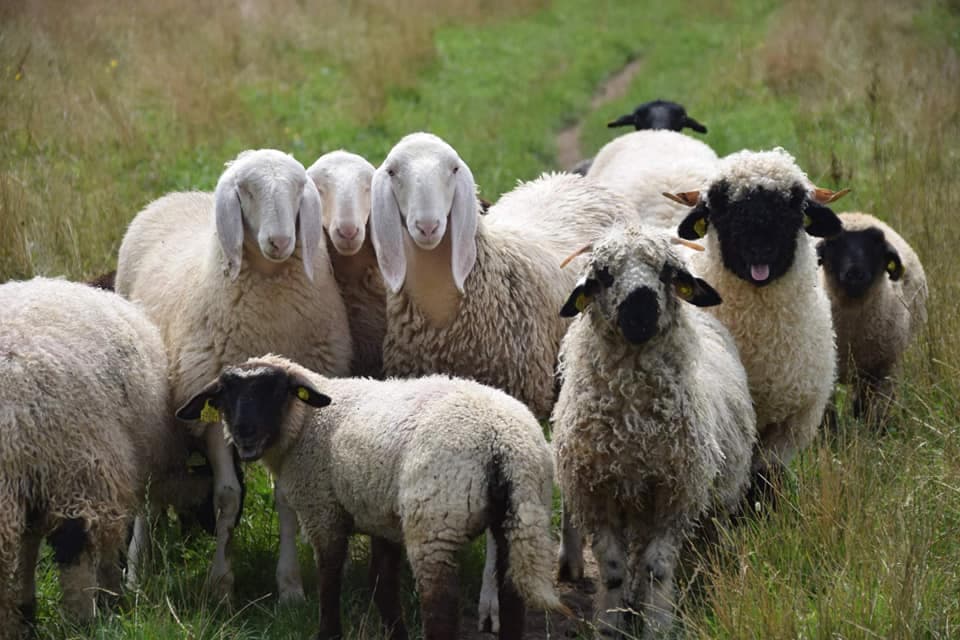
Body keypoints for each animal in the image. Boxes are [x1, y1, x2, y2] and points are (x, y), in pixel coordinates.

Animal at [115, 148, 352, 602]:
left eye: (298, 187)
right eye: (246, 190)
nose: (280, 241)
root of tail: (181, 194)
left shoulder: (290, 412)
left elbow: (286, 501)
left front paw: (290, 587)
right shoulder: (211, 404)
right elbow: (225, 498)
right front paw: (221, 585)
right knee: (149, 493)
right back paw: (137, 572)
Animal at [176, 354, 568, 640]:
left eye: (274, 390)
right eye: (224, 396)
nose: (244, 434)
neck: (307, 423)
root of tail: (500, 439)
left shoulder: (323, 510)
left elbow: (330, 578)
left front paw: (328, 634)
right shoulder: (382, 516)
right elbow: (383, 586)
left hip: (435, 521)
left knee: (441, 611)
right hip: (520, 516)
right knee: (513, 601)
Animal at [370, 132, 632, 630]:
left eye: (453, 168)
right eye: (393, 171)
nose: (428, 226)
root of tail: (570, 180)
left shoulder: (508, 412)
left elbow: (500, 530)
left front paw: (492, 603)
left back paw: (571, 558)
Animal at [552, 227, 756, 639]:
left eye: (668, 272)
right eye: (603, 275)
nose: (640, 308)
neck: (633, 428)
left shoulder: (676, 493)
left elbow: (657, 566)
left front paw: (658, 624)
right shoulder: (597, 492)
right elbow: (613, 569)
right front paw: (610, 624)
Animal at [816, 212, 928, 420]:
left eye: (876, 244)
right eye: (833, 243)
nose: (855, 274)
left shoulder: (884, 369)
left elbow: (874, 414)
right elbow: (828, 417)